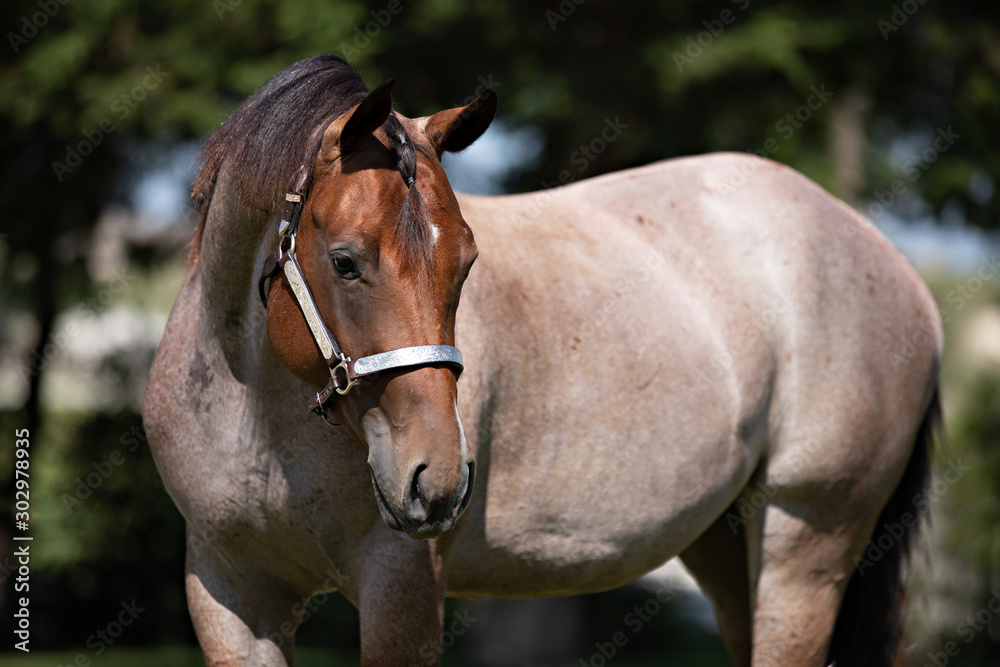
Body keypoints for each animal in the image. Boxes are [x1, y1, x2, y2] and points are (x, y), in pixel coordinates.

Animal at [143, 54, 942, 667]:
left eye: (466, 265)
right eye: (345, 262)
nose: (436, 479)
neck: (261, 416)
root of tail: (900, 271)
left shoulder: (400, 591)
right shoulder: (228, 595)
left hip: (806, 546)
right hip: (728, 543)